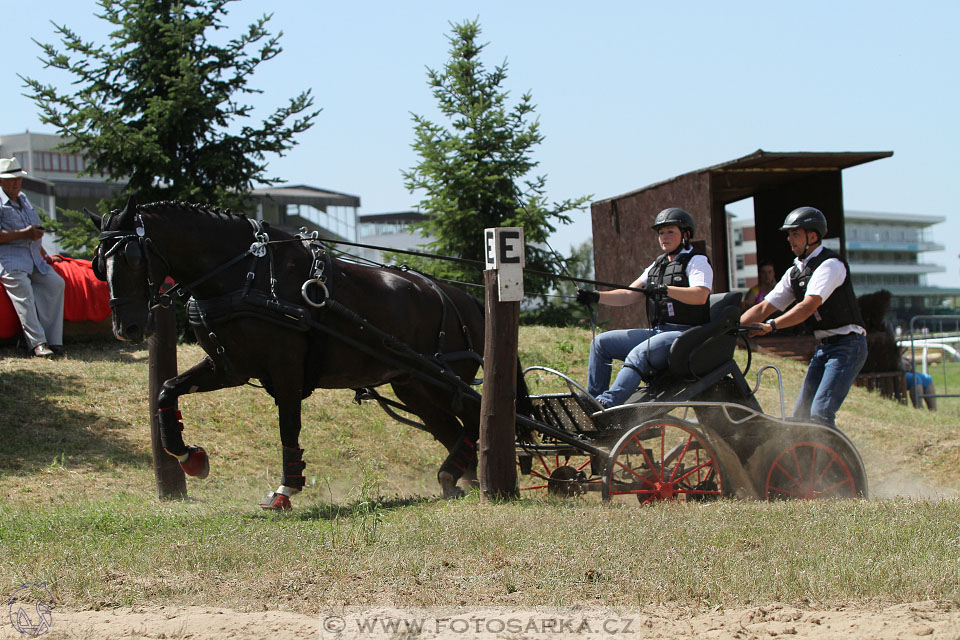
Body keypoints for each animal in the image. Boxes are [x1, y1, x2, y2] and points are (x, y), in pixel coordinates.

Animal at [88, 200, 502, 510]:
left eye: (131, 256)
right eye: (97, 263)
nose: (127, 328)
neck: (248, 272)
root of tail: (464, 298)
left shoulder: (286, 370)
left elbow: (289, 427)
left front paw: (285, 490)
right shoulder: (227, 367)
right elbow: (167, 390)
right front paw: (190, 456)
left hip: (446, 381)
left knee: (475, 418)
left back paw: (478, 477)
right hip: (414, 386)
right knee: (454, 428)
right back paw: (458, 477)